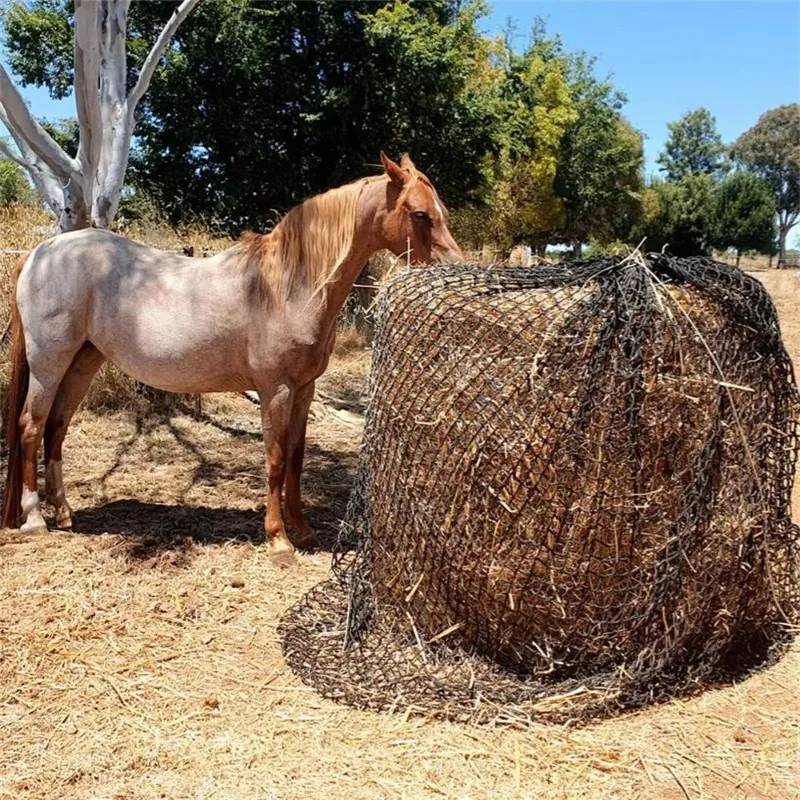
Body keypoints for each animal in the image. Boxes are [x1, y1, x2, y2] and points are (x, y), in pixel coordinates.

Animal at [1, 152, 463, 566]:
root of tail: (39, 253)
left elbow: (296, 458)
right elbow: (275, 459)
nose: (455, 269)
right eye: (420, 214)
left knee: (56, 428)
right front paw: (279, 541)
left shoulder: (304, 390)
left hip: (82, 362)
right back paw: (35, 520)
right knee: (30, 427)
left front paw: (303, 531)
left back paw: (64, 514)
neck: (287, 286)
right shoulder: (275, 390)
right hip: (49, 364)